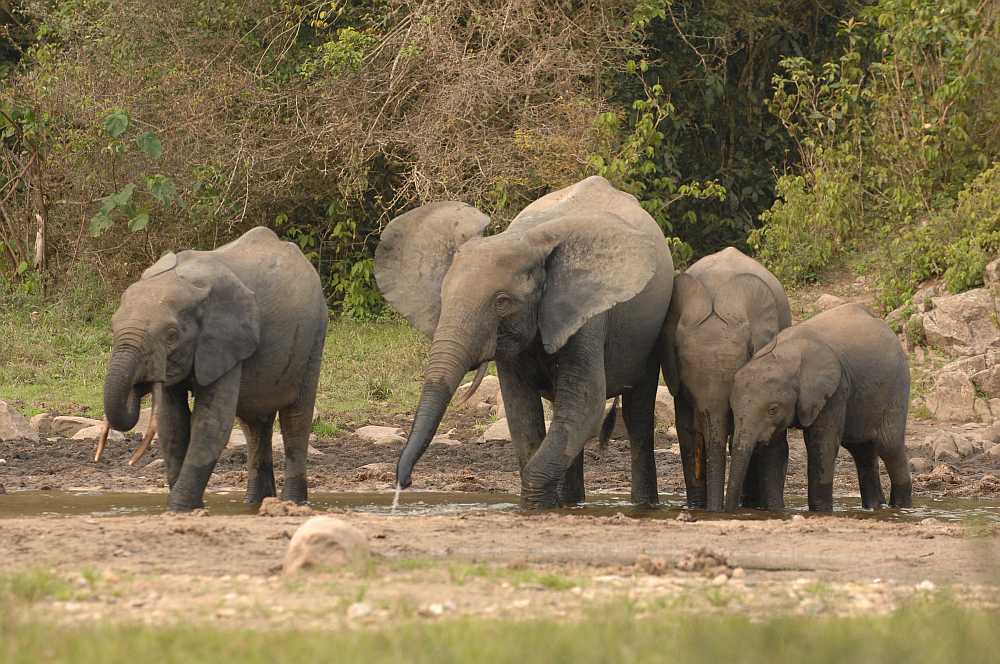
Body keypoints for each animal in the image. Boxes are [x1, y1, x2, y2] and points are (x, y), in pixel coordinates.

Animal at [100, 226, 328, 511]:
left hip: (314, 337)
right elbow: (172, 423)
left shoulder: (225, 340)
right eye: (112, 327)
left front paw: (180, 507)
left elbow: (211, 423)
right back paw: (255, 502)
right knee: (254, 423)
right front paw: (187, 507)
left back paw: (292, 502)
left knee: (295, 419)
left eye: (172, 335)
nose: (140, 384)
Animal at [375, 176, 674, 509]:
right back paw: (572, 504)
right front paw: (543, 507)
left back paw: (643, 505)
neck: (528, 240)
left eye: (502, 302)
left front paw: (536, 507)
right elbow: (521, 411)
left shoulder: (587, 318)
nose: (404, 481)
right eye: (443, 298)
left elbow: (585, 404)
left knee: (637, 416)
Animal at [726, 303, 912, 512]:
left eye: (772, 409)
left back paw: (902, 508)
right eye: (732, 410)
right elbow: (775, 449)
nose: (730, 510)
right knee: (861, 450)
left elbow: (822, 444)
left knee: (889, 446)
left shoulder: (836, 390)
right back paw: (875, 507)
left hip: (896, 387)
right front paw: (776, 510)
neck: (784, 357)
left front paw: (820, 511)